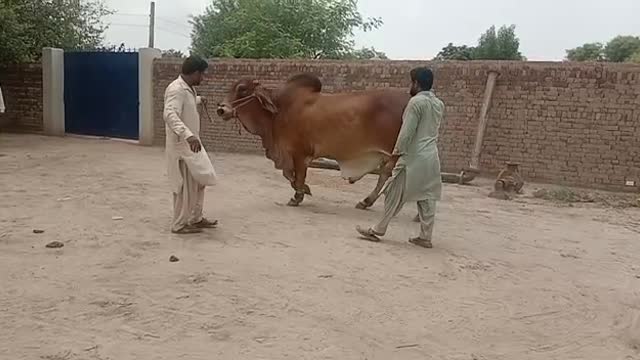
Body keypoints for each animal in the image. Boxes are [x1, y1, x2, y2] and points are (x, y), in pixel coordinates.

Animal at [216, 73, 410, 208]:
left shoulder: (299, 153)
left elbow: (297, 176)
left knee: (386, 174)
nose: (221, 110)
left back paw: (367, 201)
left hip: (394, 151)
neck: (279, 110)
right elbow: (289, 175)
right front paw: (303, 191)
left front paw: (299, 195)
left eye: (242, 89)